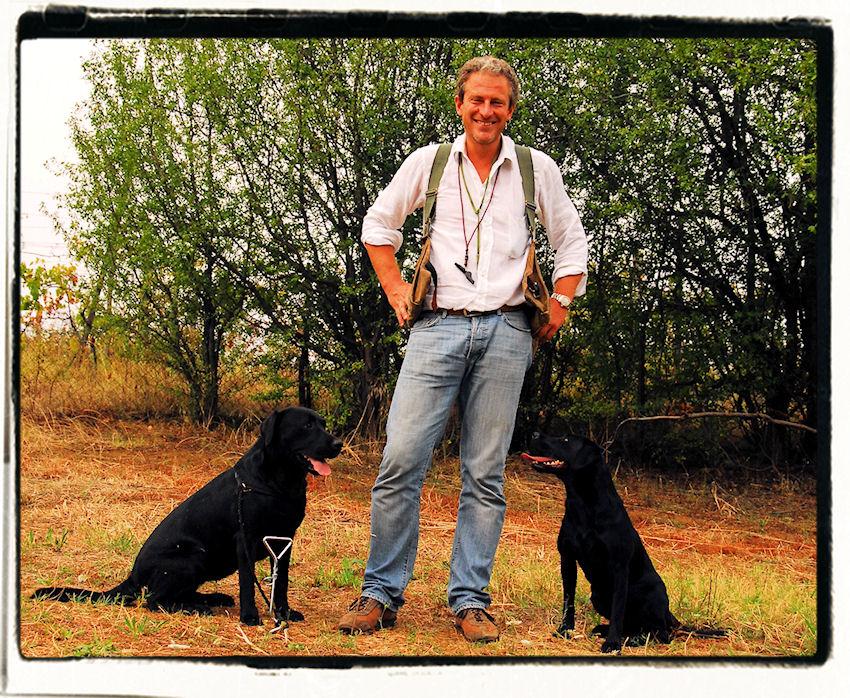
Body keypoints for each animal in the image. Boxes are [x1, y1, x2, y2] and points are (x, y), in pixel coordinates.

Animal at [32, 406, 342, 627]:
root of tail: (134, 575)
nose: (338, 443)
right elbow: (247, 584)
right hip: (193, 555)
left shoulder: (285, 541)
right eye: (306, 426)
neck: (279, 483)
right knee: (156, 600)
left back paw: (213, 598)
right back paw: (198, 608)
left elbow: (282, 584)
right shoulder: (246, 538)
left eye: (323, 423)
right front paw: (250, 617)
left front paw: (284, 613)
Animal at [522, 432, 725, 653]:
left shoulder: (619, 566)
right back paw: (607, 630)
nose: (534, 434)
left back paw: (633, 639)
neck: (584, 504)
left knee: (661, 633)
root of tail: (669, 614)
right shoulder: (567, 559)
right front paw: (564, 629)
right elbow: (569, 599)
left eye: (566, 440)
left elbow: (618, 609)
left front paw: (612, 643)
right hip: (598, 594)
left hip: (650, 592)